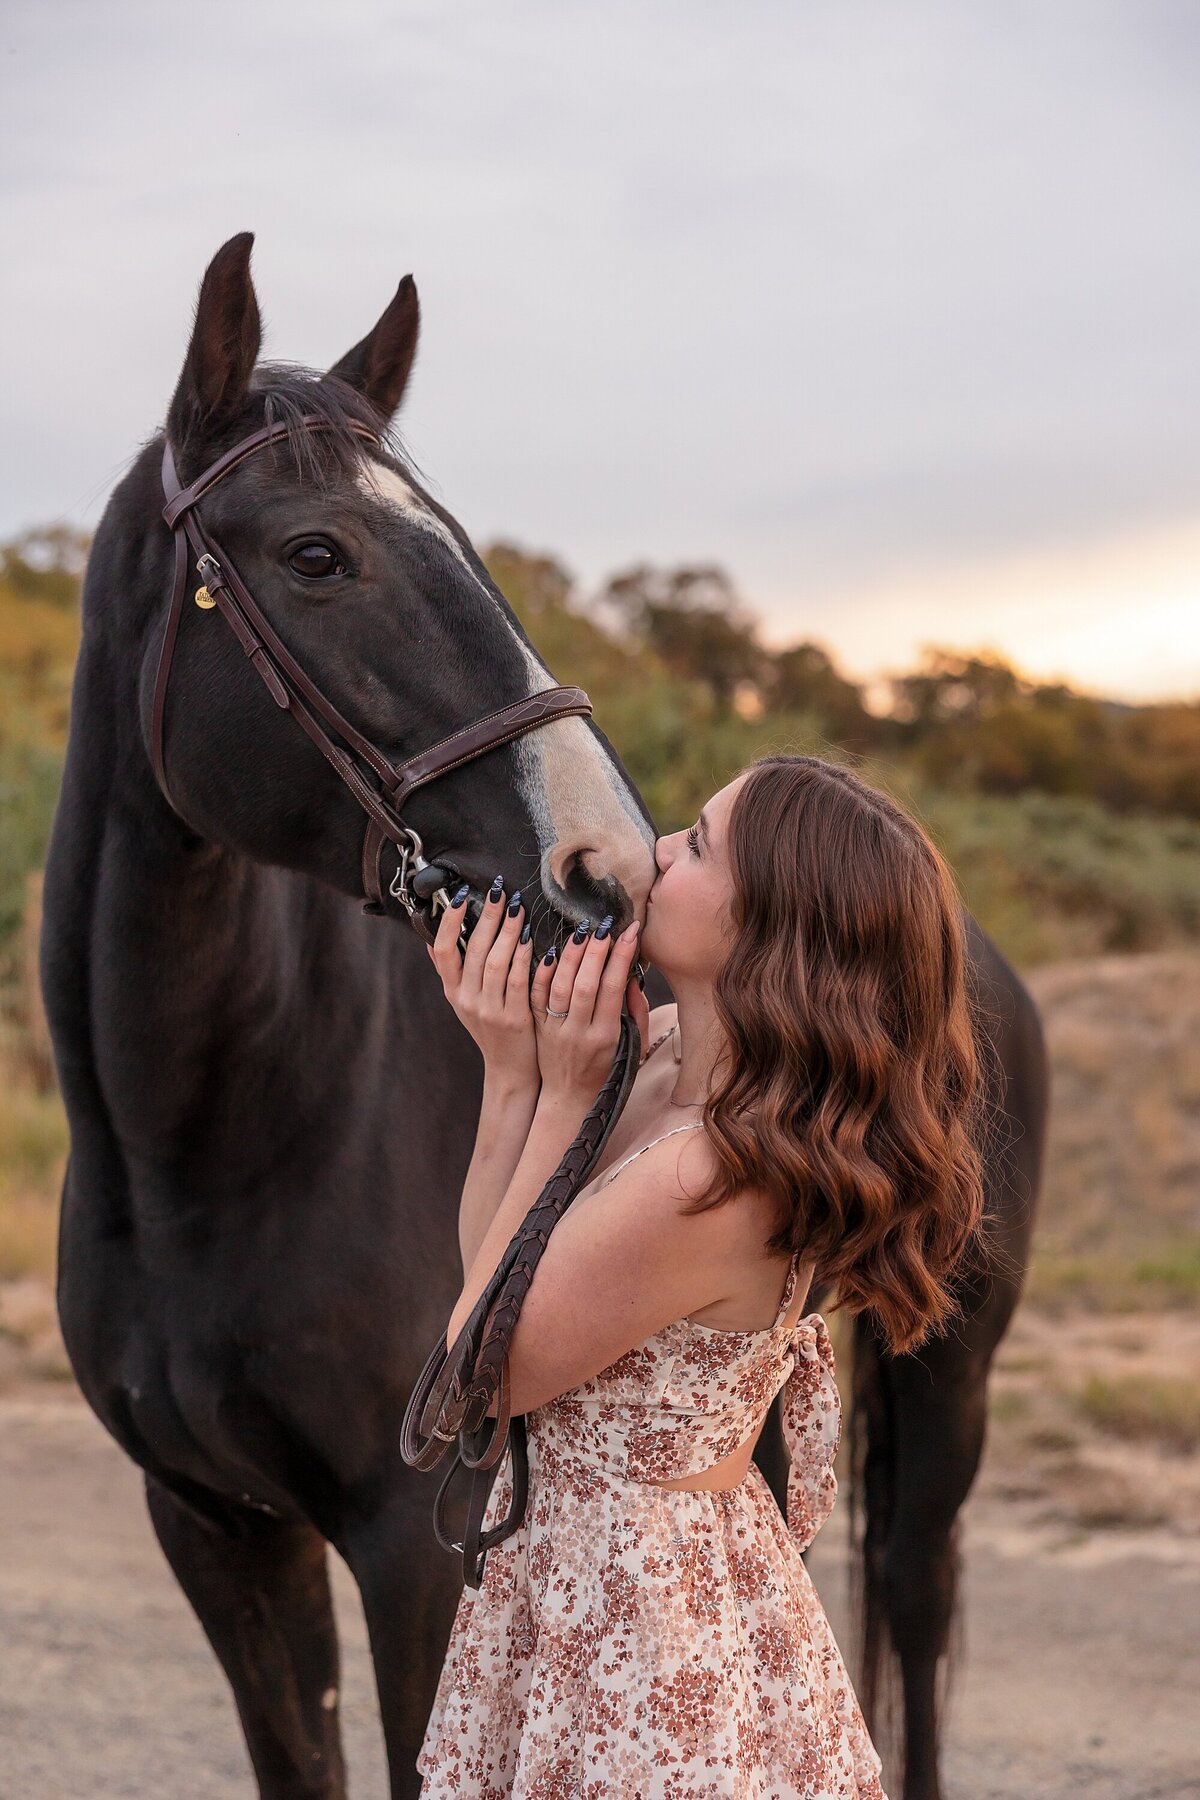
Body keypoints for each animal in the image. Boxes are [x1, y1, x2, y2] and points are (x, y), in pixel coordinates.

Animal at [42, 232, 1043, 1792]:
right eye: (316, 555)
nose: (608, 867)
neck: (203, 1147)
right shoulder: (219, 1534)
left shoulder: (413, 1546)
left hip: (949, 1385)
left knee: (917, 1620)